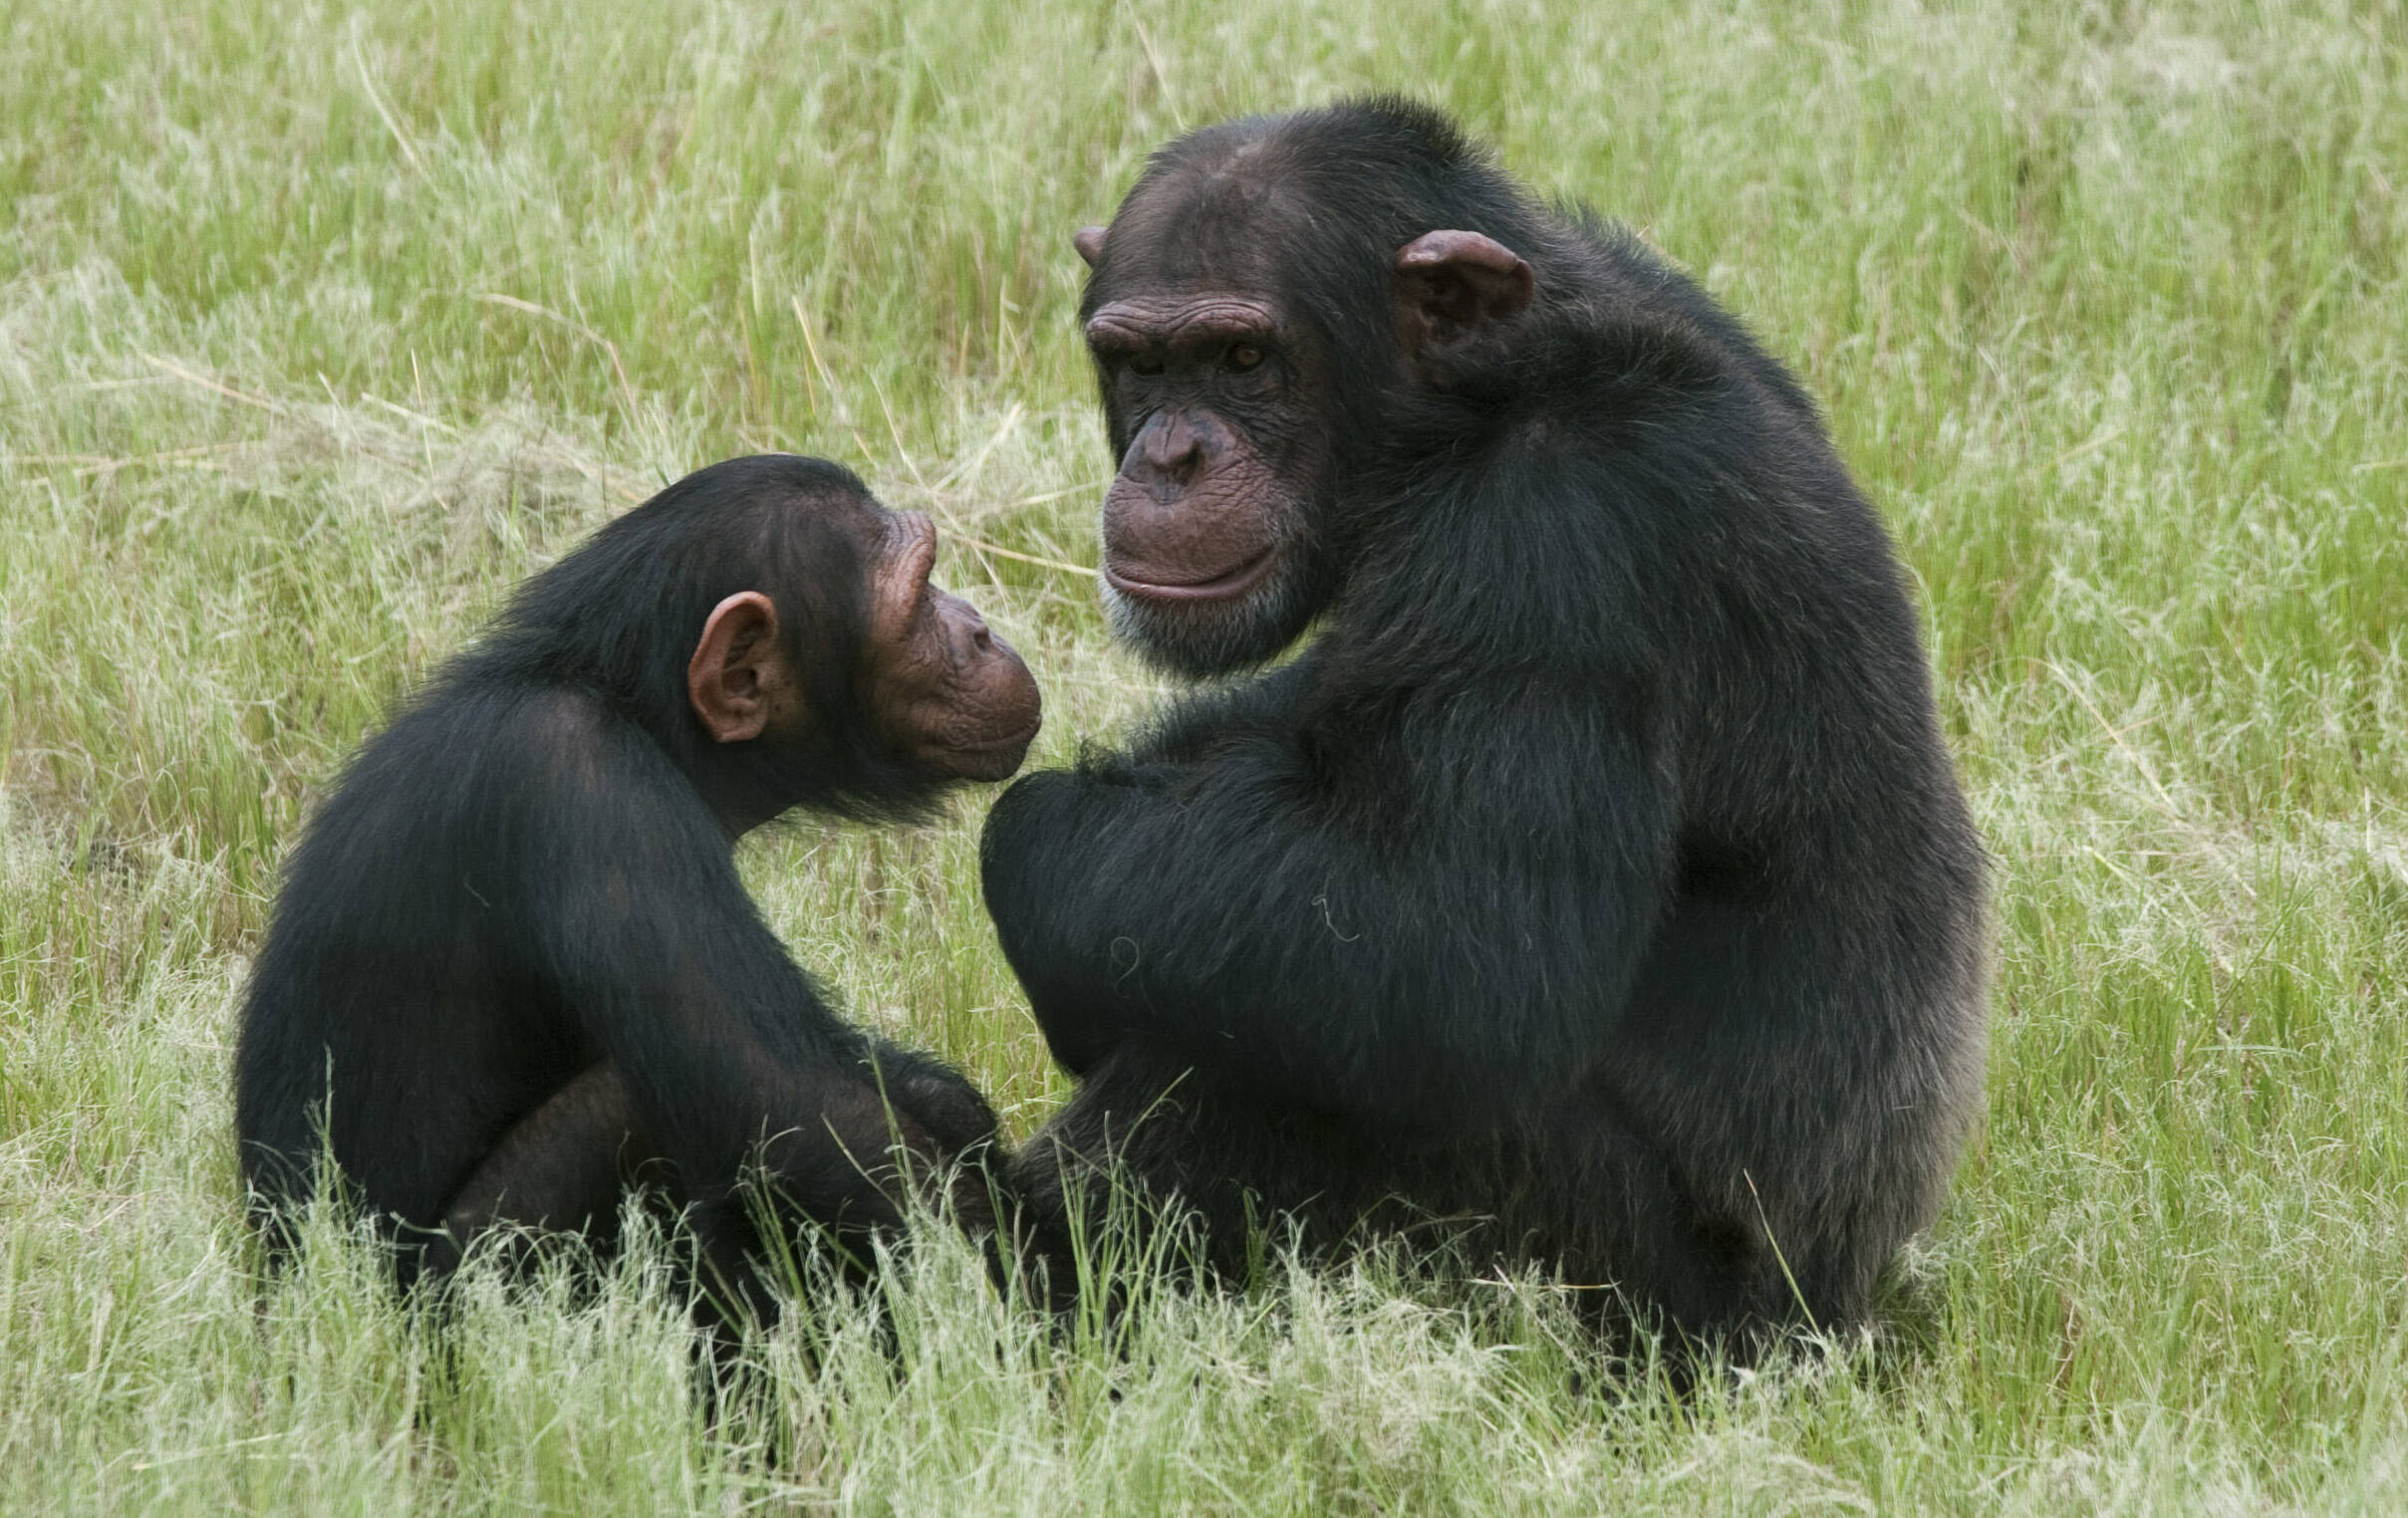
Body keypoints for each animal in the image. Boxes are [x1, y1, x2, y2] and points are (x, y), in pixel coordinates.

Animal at [229, 454, 1040, 1318]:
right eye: (918, 598)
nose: (977, 627)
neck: (638, 710)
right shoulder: (588, 789)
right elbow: (790, 1102)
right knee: (629, 1108)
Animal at [982, 98, 1994, 1357]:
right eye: (1137, 362)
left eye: (1243, 358)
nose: (1169, 455)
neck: (1478, 401)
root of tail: (1842, 1319)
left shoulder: (1553, 544)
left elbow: (1460, 947)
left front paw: (1030, 839)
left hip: (1625, 1294)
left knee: (1277, 1049)